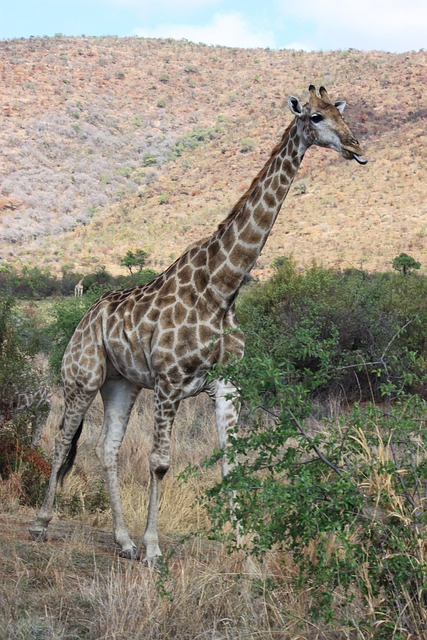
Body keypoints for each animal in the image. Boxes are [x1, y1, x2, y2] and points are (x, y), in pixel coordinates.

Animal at [30, 86, 367, 561]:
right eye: (315, 117)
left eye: (341, 113)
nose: (356, 148)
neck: (222, 289)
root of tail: (85, 317)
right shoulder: (170, 383)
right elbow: (160, 462)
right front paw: (154, 548)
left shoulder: (228, 384)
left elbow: (232, 462)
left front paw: (245, 549)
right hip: (82, 376)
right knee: (62, 442)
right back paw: (43, 524)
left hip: (121, 383)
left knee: (107, 448)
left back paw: (123, 540)